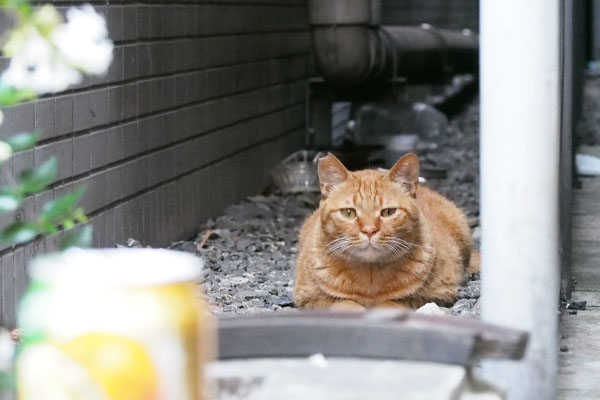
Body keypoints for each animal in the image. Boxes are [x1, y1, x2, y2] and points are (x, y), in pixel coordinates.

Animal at [292, 152, 478, 310]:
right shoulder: (309, 297)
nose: (369, 230)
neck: (370, 278)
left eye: (388, 212)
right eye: (348, 212)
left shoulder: (438, 294)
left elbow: (394, 302)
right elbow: (344, 303)